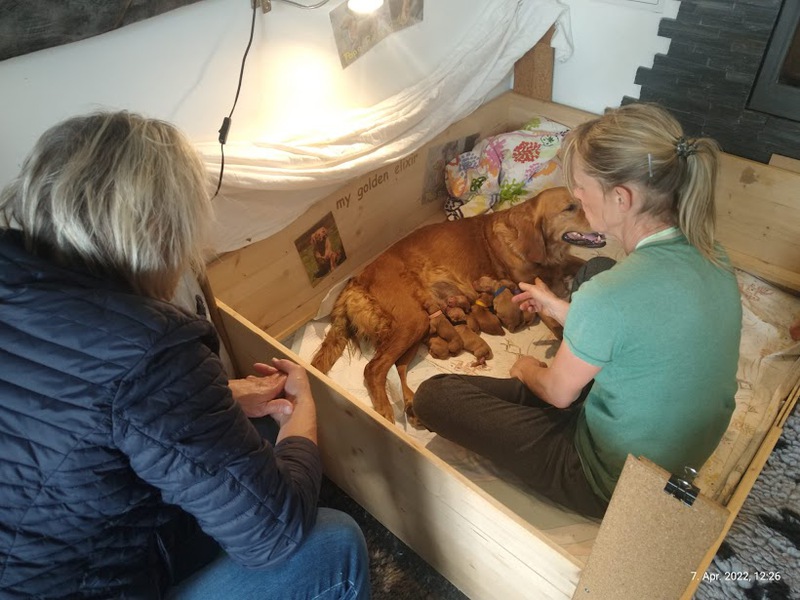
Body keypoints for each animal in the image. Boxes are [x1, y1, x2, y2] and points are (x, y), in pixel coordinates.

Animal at [310, 187, 603, 425]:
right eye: (569, 208)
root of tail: (355, 281)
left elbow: (586, 262)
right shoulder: (526, 287)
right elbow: (552, 317)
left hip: (418, 326)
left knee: (397, 368)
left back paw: (410, 405)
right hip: (413, 322)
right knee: (374, 369)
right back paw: (385, 411)